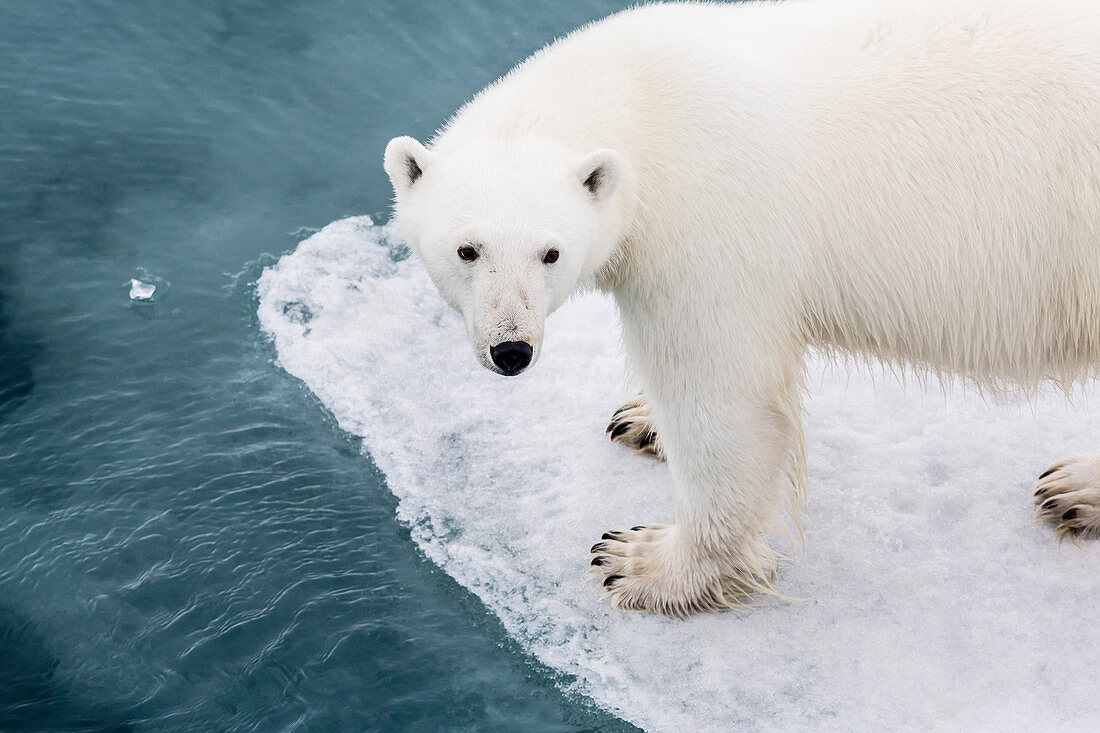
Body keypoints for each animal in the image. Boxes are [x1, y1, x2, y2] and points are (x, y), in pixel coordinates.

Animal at [382, 0, 1100, 611]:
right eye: (467, 249)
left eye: (550, 253)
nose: (511, 349)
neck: (644, 100)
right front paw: (641, 418)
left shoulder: (709, 223)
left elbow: (723, 397)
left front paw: (645, 563)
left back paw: (1075, 488)